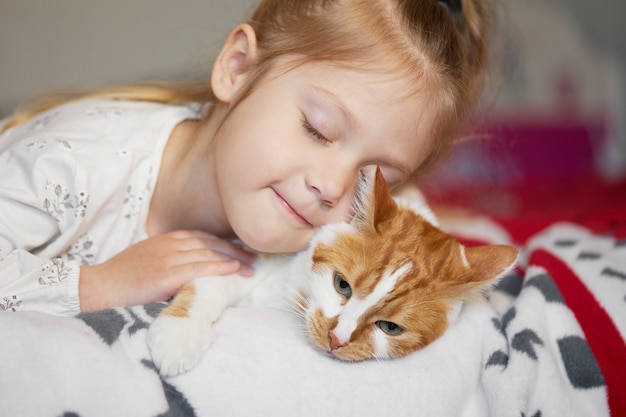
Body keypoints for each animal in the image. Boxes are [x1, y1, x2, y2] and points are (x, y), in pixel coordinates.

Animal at [147, 167, 516, 376]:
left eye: (390, 327)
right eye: (342, 286)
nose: (337, 339)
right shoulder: (248, 256)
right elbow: (210, 284)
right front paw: (179, 335)